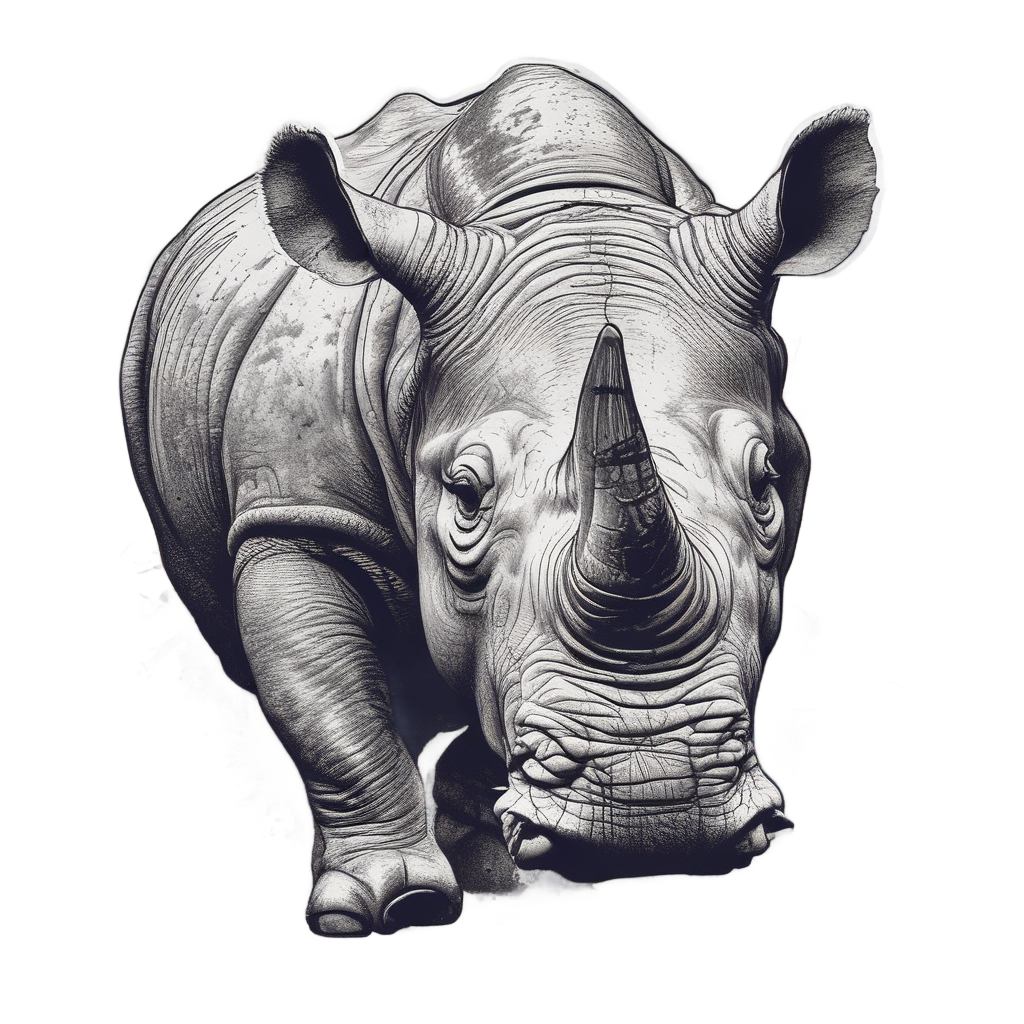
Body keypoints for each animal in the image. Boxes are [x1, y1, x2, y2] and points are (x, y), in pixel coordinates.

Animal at [122, 63, 877, 935]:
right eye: (464, 495)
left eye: (764, 485)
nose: (654, 816)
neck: (570, 198)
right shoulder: (299, 514)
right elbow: (327, 704)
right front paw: (394, 907)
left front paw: (500, 870)